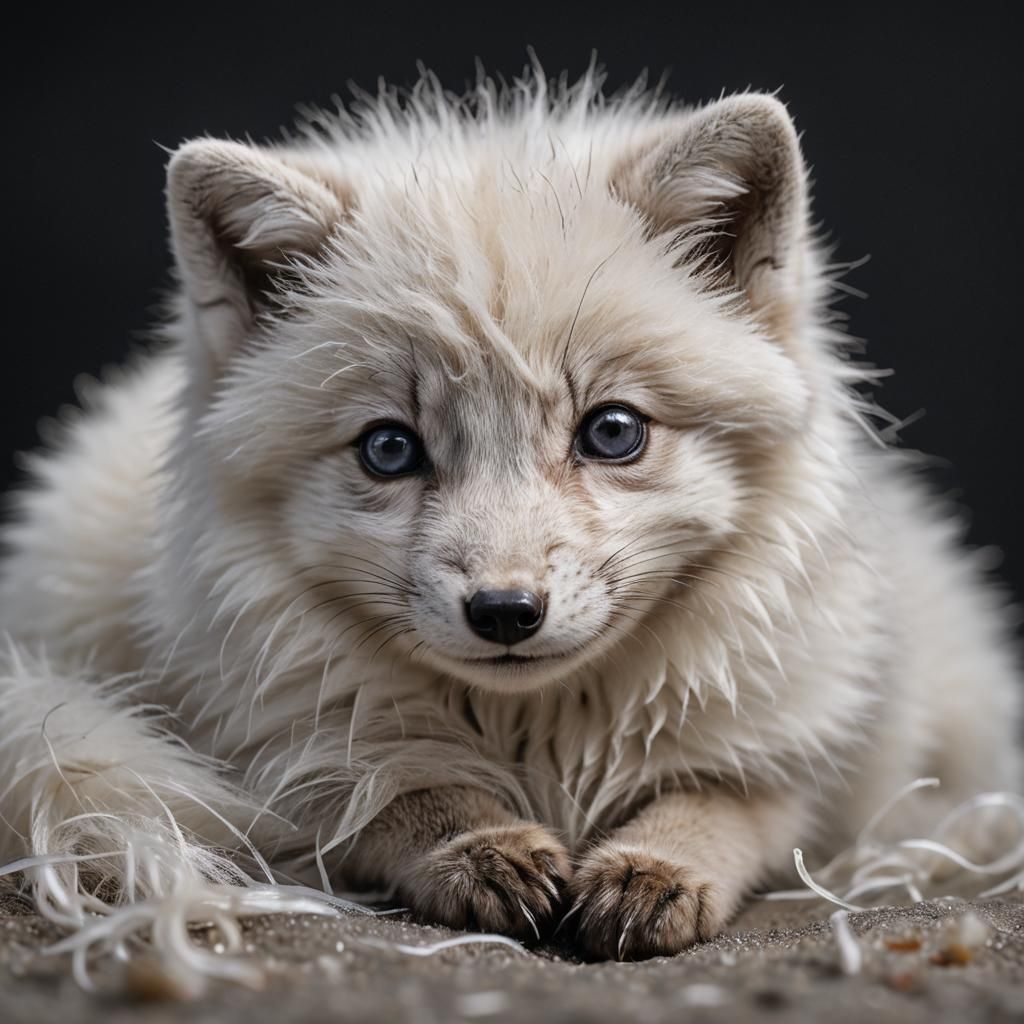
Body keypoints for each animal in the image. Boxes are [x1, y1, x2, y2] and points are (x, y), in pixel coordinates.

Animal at [0, 67, 1020, 972]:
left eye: (612, 431)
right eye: (389, 449)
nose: (504, 613)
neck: (541, 741)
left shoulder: (820, 753)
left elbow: (733, 803)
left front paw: (654, 868)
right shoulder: (272, 745)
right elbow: (386, 795)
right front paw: (476, 847)